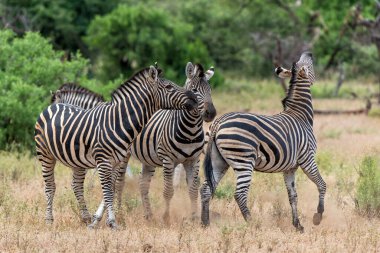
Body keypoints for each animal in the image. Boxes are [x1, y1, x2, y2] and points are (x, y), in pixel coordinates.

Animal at [35, 65, 199, 229]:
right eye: (168, 87)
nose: (194, 98)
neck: (117, 122)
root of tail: (51, 107)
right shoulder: (103, 161)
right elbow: (108, 190)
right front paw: (112, 221)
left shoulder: (116, 161)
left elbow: (111, 189)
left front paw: (103, 220)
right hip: (45, 155)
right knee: (50, 186)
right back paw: (49, 220)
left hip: (78, 161)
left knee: (76, 185)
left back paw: (85, 217)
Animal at [110, 62, 217, 222]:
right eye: (194, 90)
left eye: (210, 90)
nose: (211, 113)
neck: (191, 131)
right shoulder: (168, 160)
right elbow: (168, 190)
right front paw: (166, 217)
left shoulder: (194, 160)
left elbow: (192, 190)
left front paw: (193, 218)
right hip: (125, 154)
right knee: (119, 182)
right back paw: (119, 213)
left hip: (148, 158)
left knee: (143, 183)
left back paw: (148, 215)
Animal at [199, 52, 326, 232]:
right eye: (310, 64)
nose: (310, 53)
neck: (300, 115)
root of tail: (217, 123)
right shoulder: (307, 158)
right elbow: (322, 184)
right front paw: (318, 216)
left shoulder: (290, 168)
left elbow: (293, 196)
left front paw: (297, 225)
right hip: (244, 161)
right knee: (239, 194)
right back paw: (253, 223)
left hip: (219, 162)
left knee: (206, 189)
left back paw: (205, 223)